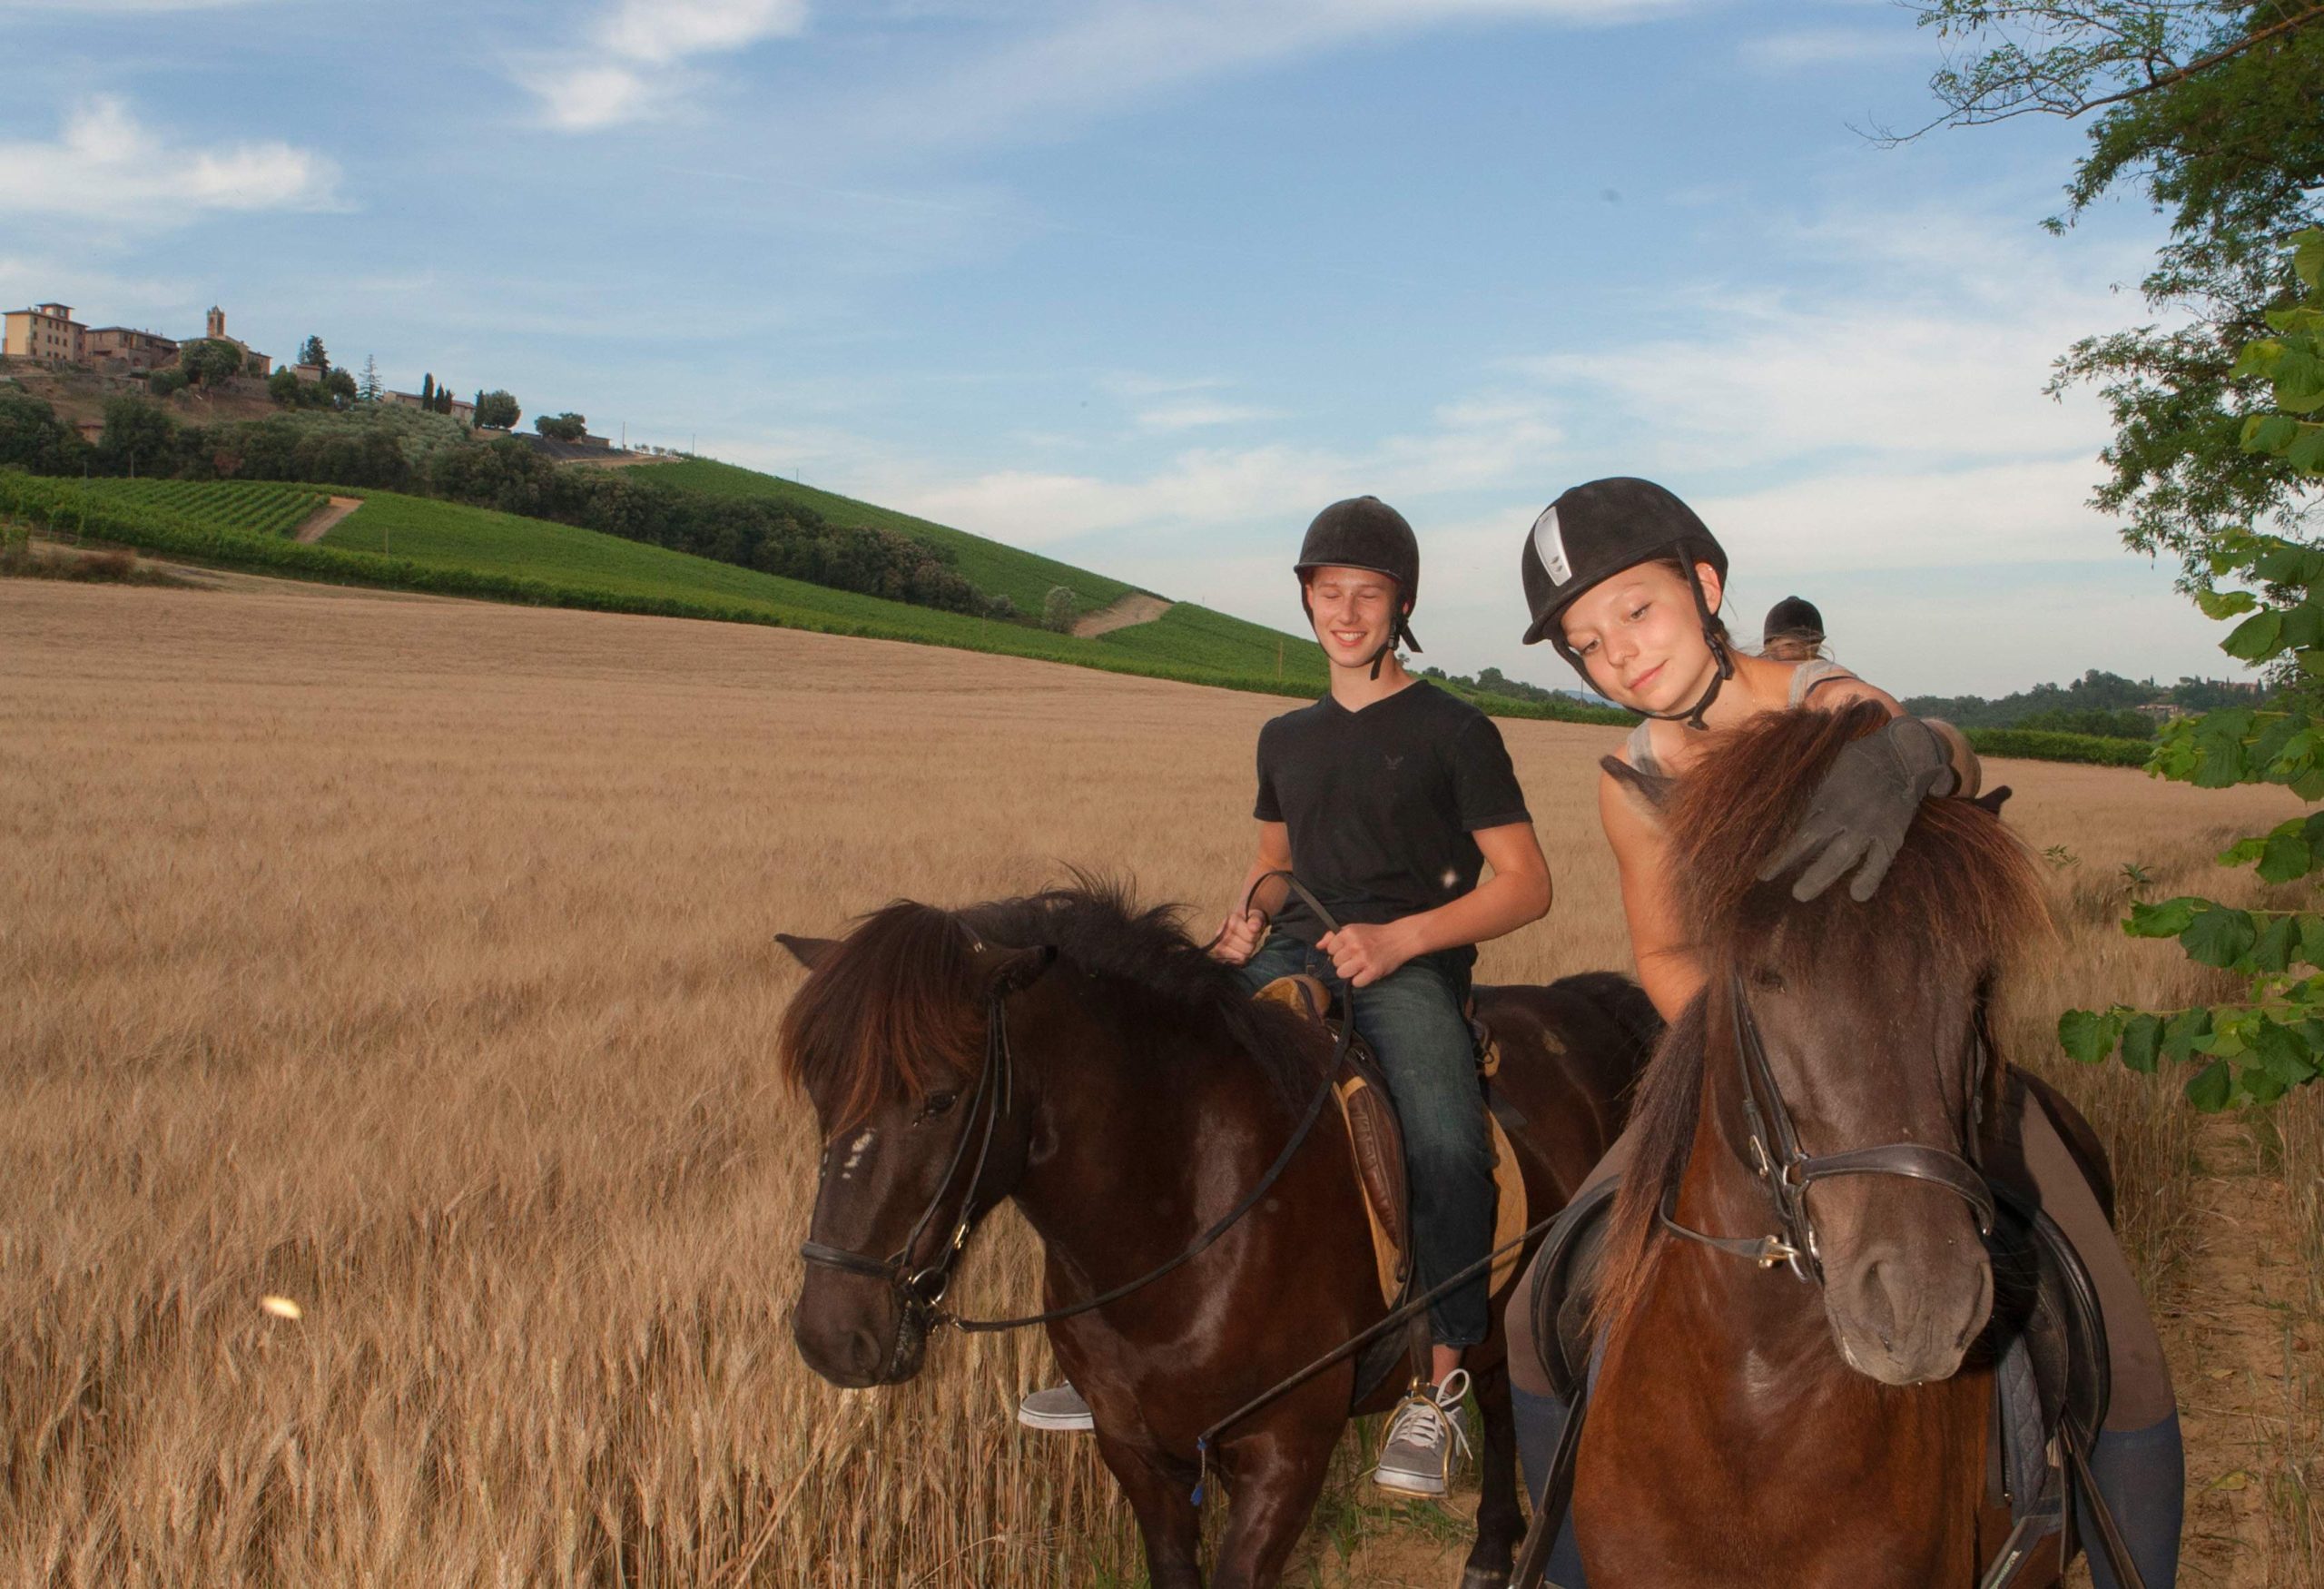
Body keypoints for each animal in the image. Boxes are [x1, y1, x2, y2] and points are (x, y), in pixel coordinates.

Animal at [776, 883, 1654, 1589]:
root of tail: (1584, 1002)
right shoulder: (1138, 1453)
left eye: (942, 1098)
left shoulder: (1285, 1452)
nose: (831, 1337)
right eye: (819, 1091)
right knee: (1500, 1397)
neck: (1182, 1214)